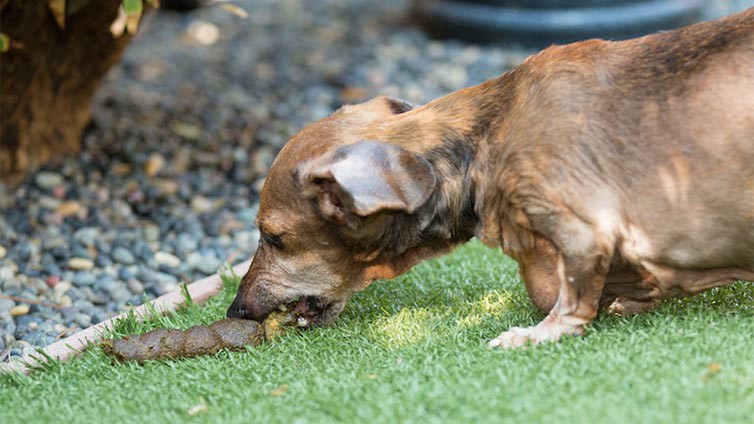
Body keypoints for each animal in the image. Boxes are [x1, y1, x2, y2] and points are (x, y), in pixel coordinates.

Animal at [225, 8, 752, 348]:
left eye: (273, 238)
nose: (235, 311)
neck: (488, 134)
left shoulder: (584, 231)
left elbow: (565, 298)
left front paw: (536, 334)